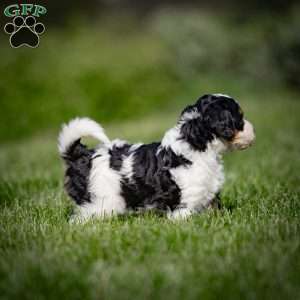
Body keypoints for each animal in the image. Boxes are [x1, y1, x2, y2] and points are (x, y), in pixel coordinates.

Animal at [58, 94, 255, 220]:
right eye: (240, 118)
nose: (252, 129)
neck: (195, 142)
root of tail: (84, 154)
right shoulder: (184, 200)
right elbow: (185, 216)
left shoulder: (207, 191)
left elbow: (214, 208)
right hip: (102, 200)